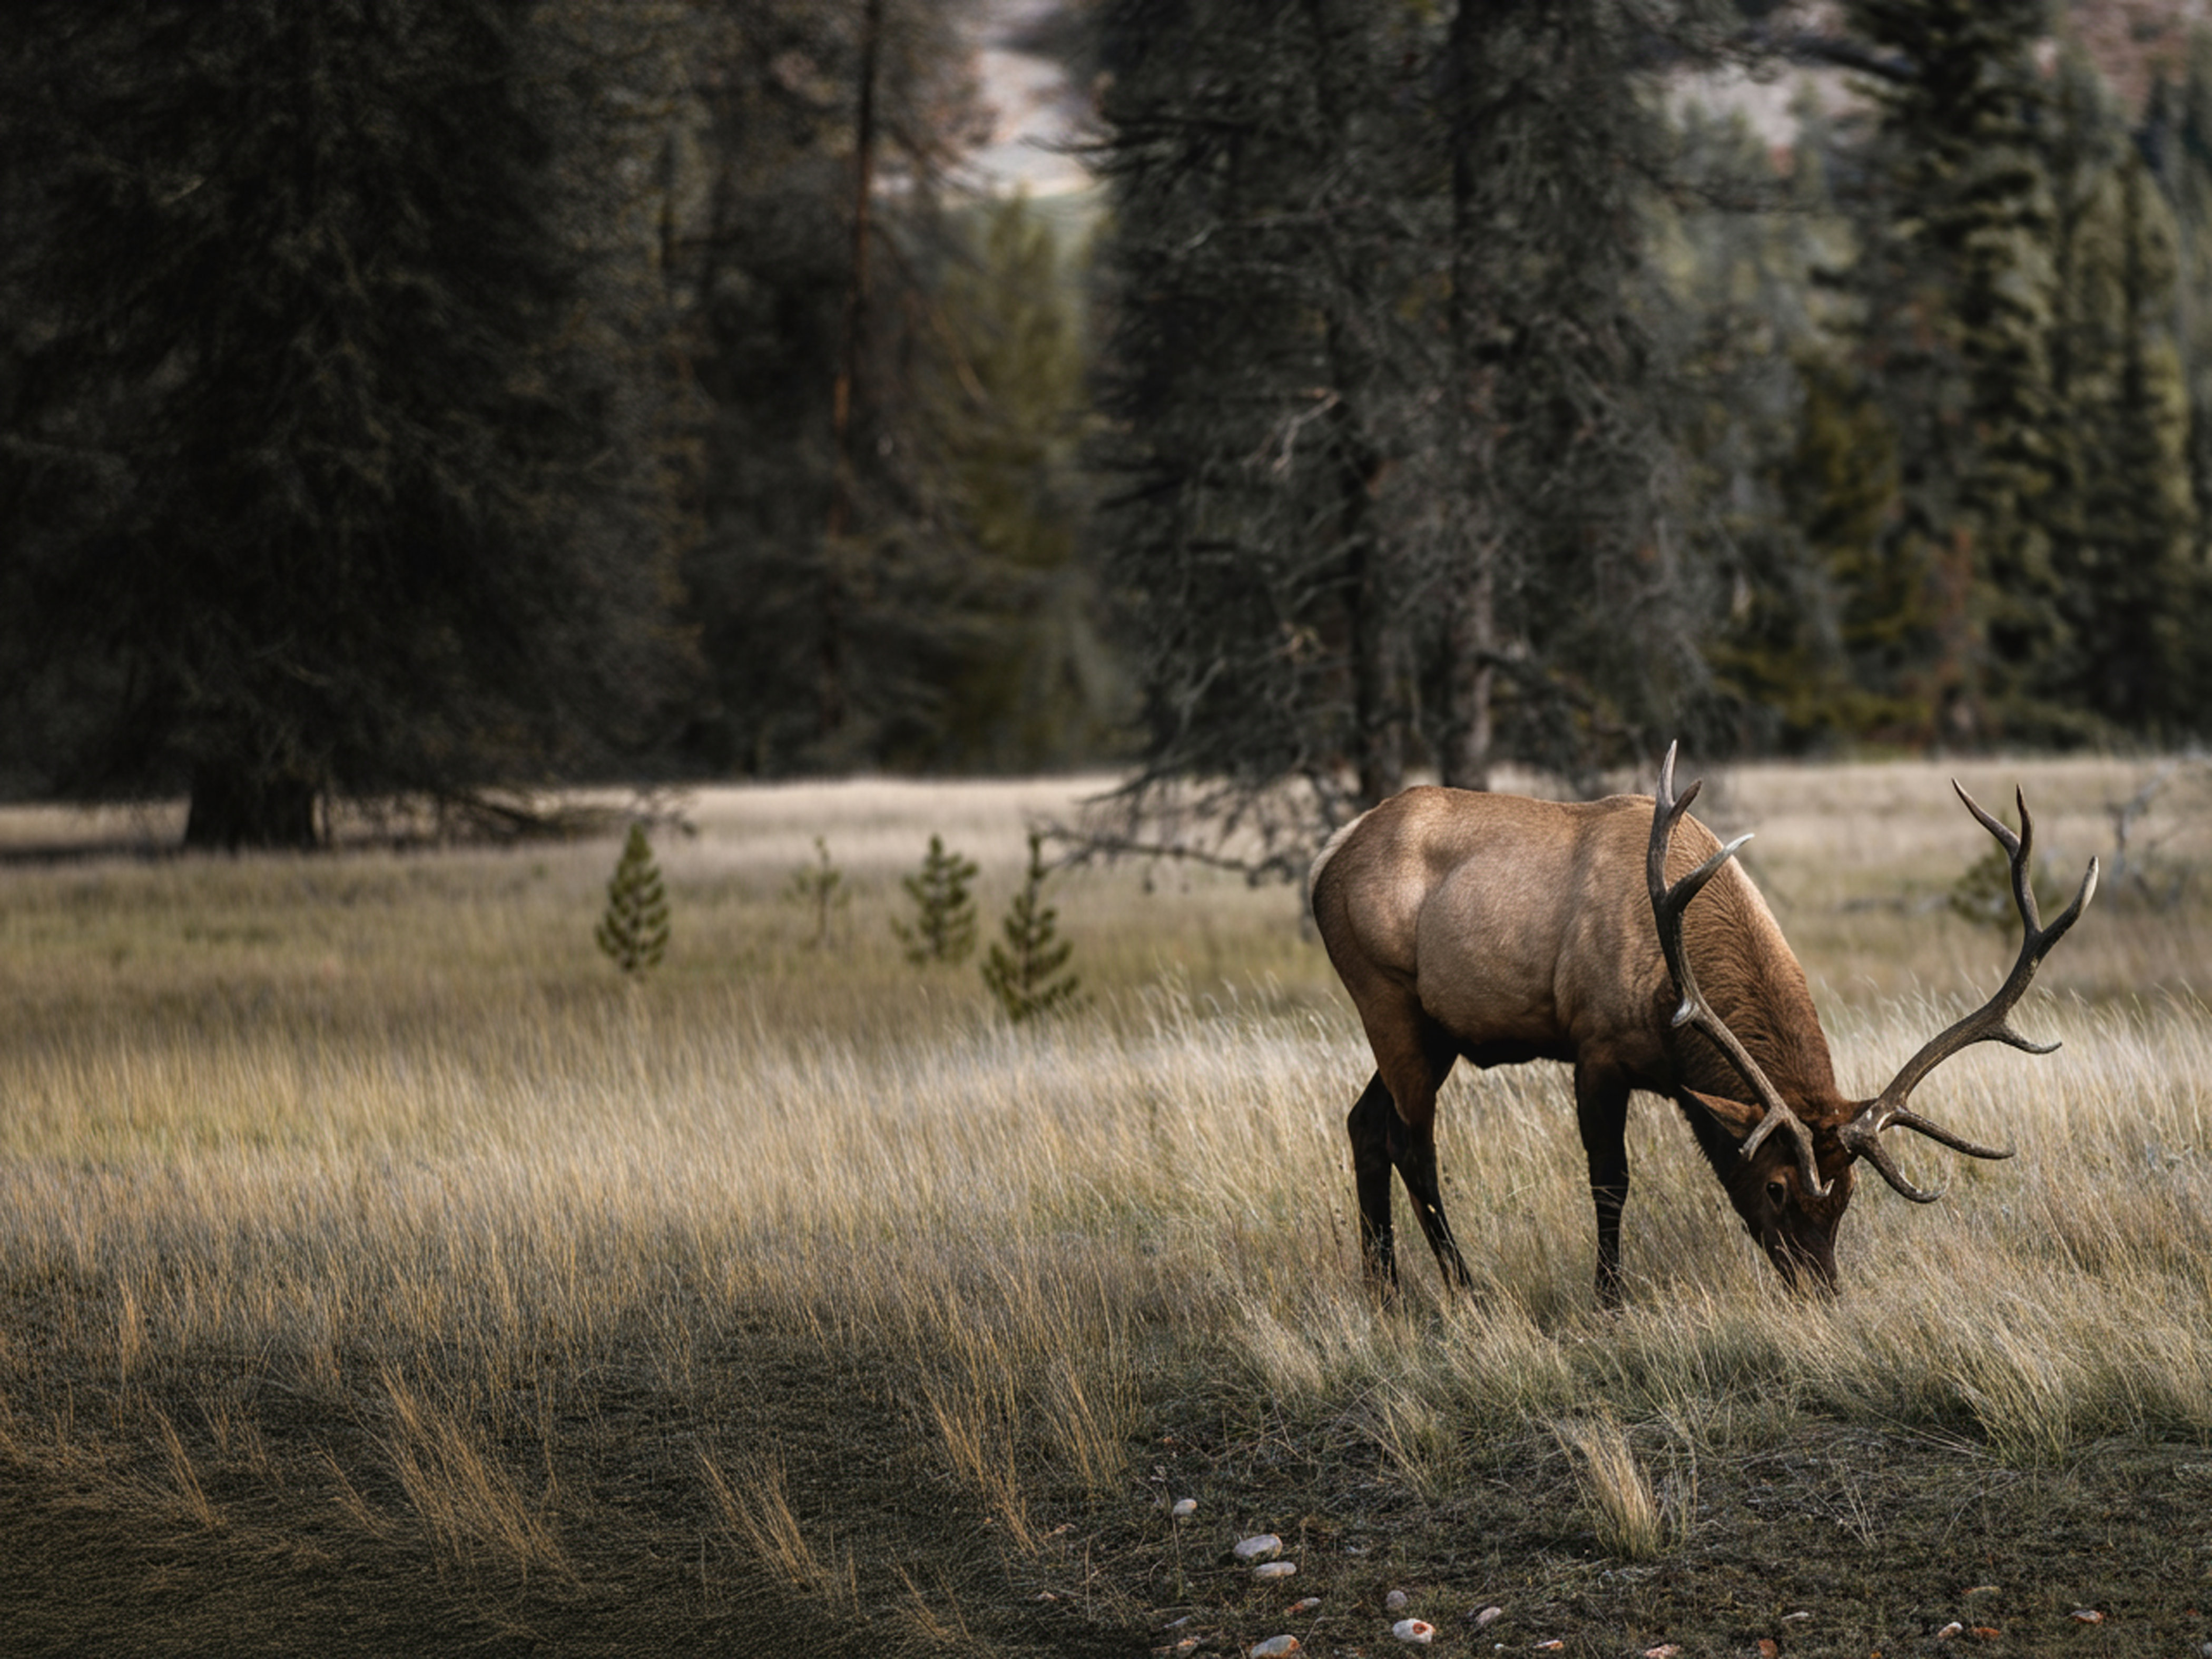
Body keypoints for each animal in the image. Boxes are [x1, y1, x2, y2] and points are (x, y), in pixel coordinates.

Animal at [1307, 744, 2097, 1303]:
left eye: (1847, 1194)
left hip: (1433, 1029)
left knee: (1362, 1121)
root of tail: (1324, 862)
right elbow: (1610, 1180)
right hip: (1385, 995)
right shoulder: (1595, 1048)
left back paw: (1383, 1292)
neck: (1671, 1006)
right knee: (1411, 1141)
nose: (1822, 1291)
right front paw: (1609, 1299)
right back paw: (1463, 1289)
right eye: (1776, 1186)